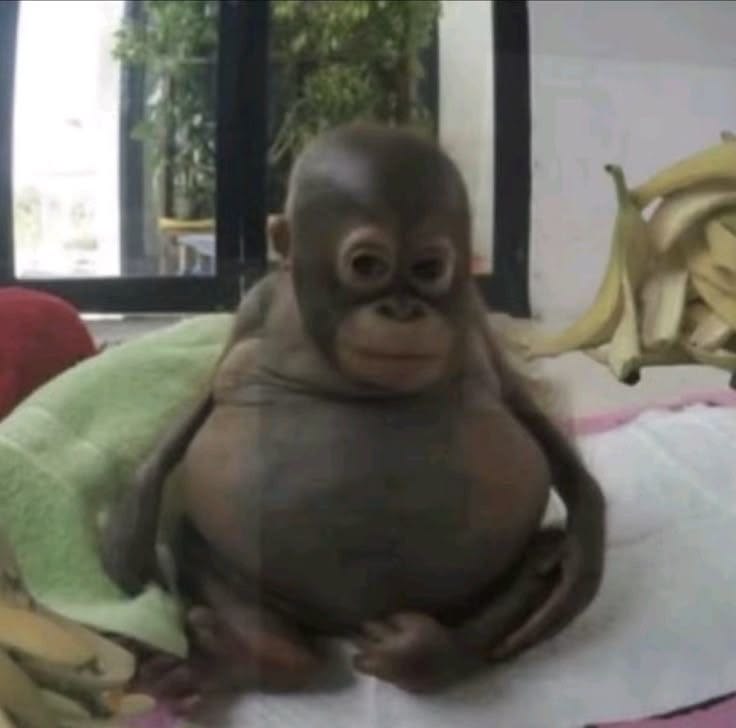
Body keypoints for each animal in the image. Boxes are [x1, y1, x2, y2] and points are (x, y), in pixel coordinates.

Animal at [101, 123, 605, 705]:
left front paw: (585, 552)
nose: (403, 310)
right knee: (193, 542)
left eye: (429, 269)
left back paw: (432, 653)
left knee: (540, 556)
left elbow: (521, 404)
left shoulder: (473, 310)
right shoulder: (255, 303)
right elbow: (205, 397)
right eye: (368, 266)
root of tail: (345, 629)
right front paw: (129, 529)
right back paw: (253, 657)